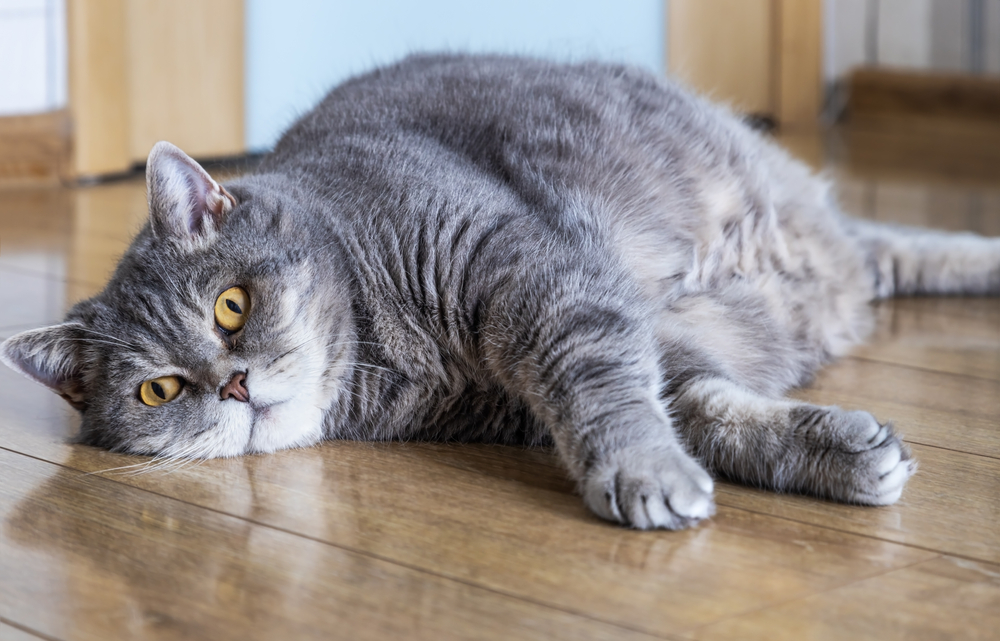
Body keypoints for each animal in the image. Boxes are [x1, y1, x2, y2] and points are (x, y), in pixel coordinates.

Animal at [0, 55, 992, 528]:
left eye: (230, 307)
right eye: (161, 390)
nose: (234, 385)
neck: (389, 348)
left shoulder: (529, 271)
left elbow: (605, 392)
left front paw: (643, 473)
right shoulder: (579, 372)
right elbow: (706, 408)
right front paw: (840, 452)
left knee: (897, 247)